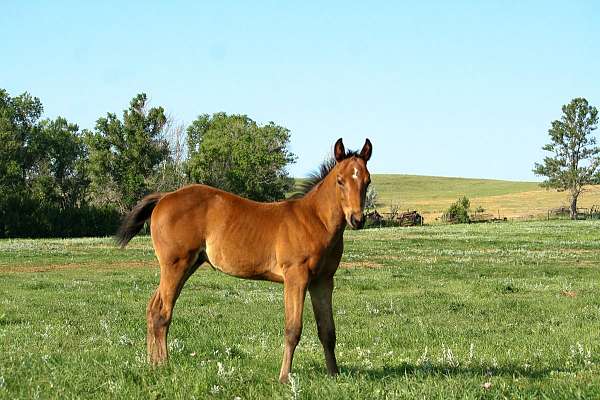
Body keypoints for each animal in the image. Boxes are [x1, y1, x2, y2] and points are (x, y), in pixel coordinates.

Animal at [115, 138, 372, 384]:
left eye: (367, 181)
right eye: (340, 180)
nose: (357, 219)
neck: (315, 220)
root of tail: (164, 197)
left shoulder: (323, 281)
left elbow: (327, 330)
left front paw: (334, 374)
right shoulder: (295, 277)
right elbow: (293, 329)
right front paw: (284, 377)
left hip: (187, 265)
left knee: (152, 307)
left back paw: (152, 364)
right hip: (175, 264)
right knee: (162, 312)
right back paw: (164, 366)